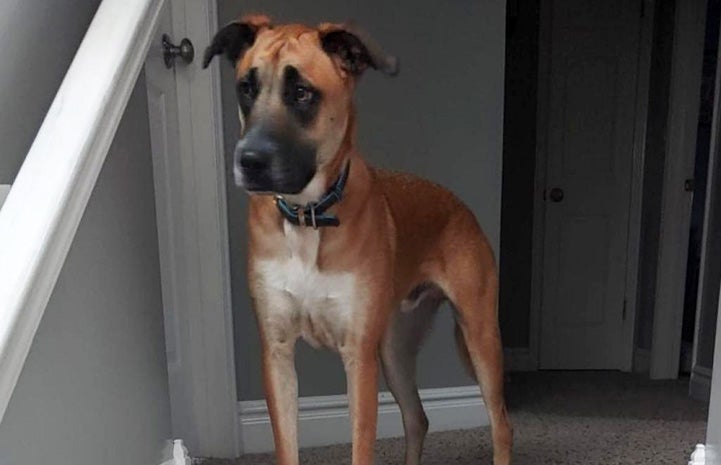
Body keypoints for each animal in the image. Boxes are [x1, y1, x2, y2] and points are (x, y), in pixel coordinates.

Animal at [202, 14, 512, 464]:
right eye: (246, 87)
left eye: (301, 92)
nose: (249, 161)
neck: (308, 217)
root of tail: (458, 205)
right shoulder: (276, 351)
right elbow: (287, 446)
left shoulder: (358, 355)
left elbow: (361, 446)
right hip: (395, 347)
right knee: (417, 418)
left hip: (479, 333)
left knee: (501, 423)